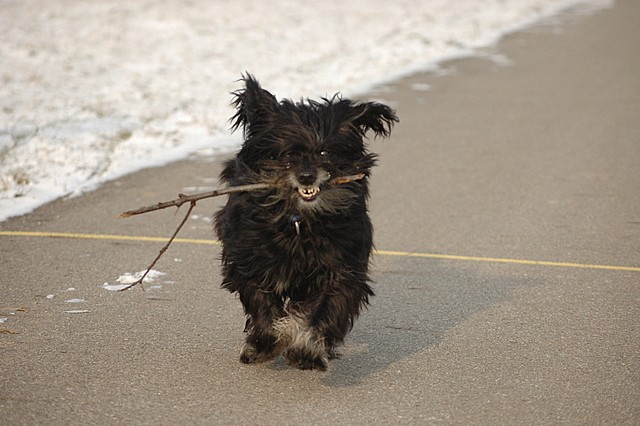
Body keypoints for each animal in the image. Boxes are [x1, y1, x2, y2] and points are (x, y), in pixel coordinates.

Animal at [215, 75, 396, 372]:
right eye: (287, 155)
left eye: (324, 152)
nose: (307, 176)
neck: (300, 222)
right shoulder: (250, 263)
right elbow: (263, 307)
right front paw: (263, 343)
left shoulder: (341, 269)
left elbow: (326, 311)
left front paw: (307, 350)